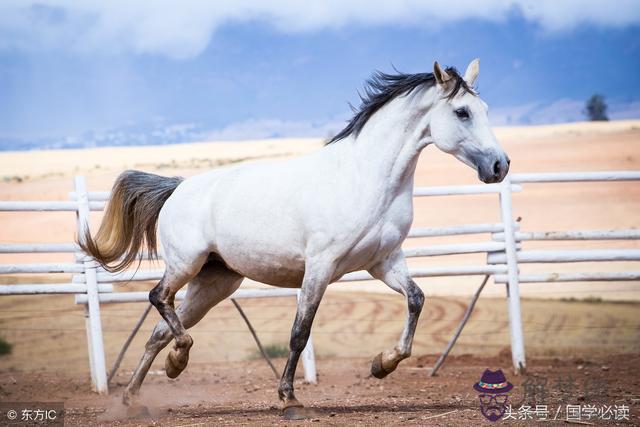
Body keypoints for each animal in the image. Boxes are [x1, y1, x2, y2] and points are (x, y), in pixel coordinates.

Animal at [81, 58, 510, 420]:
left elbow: (416, 300)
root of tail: (178, 188)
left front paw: (381, 364)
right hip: (185, 265)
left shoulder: (384, 262)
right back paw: (176, 363)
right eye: (462, 112)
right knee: (158, 298)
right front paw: (289, 399)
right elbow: (299, 333)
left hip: (215, 282)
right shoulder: (321, 266)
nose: (500, 165)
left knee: (158, 331)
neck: (365, 178)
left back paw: (138, 395)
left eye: (487, 110)